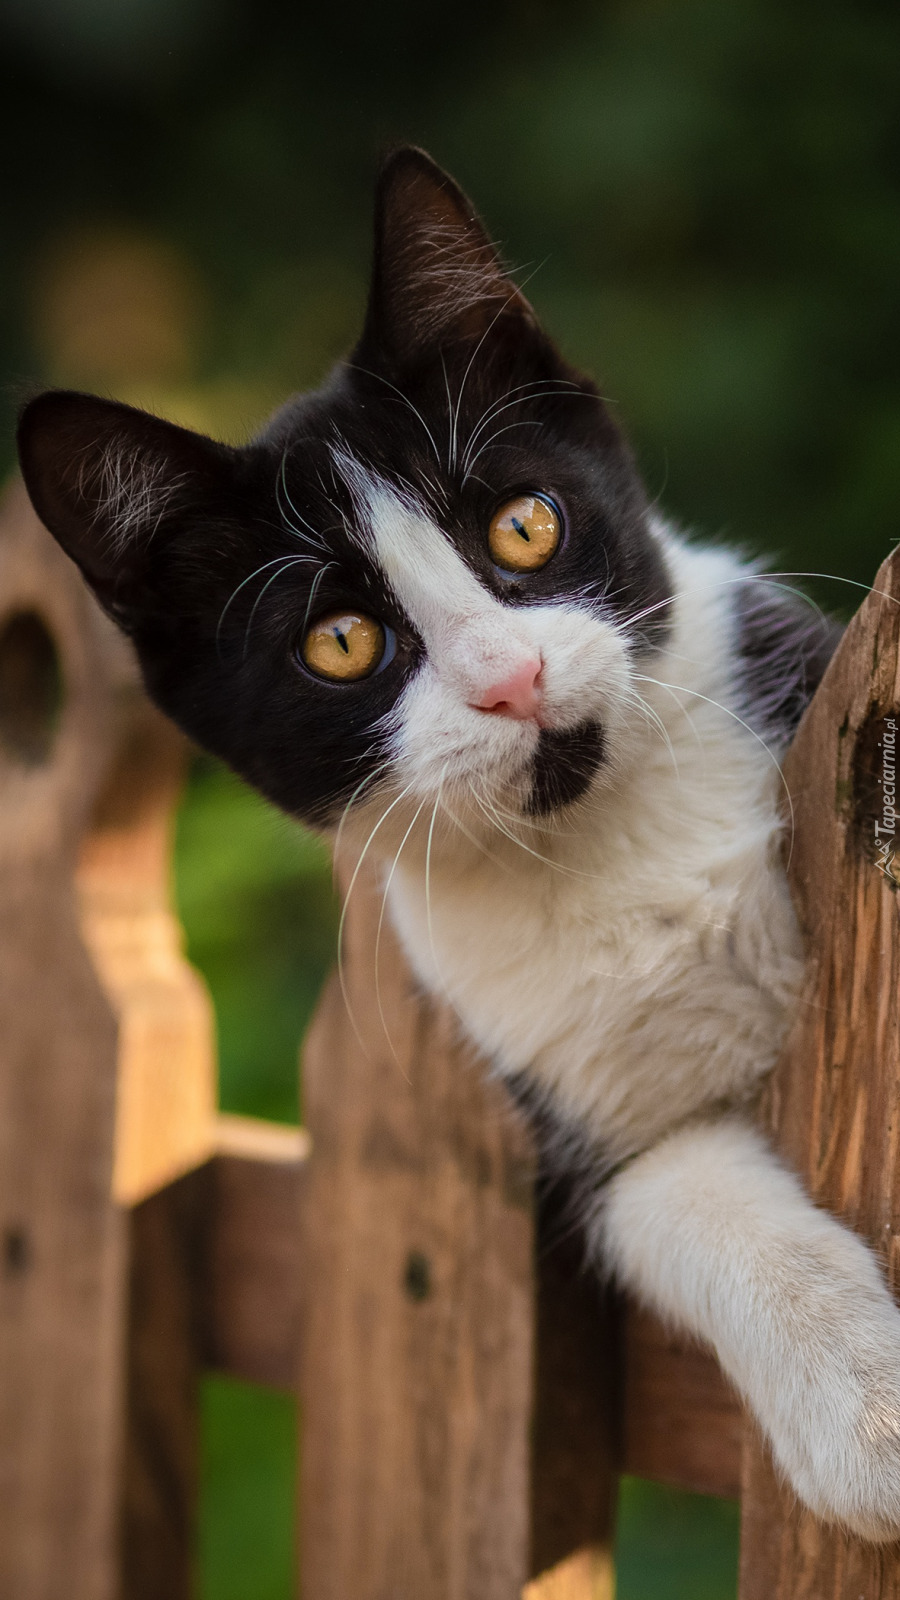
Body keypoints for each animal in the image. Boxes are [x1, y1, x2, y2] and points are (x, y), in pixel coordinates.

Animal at [15, 147, 900, 1536]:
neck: (603, 839)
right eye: (340, 641)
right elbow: (684, 1198)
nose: (511, 676)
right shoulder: (578, 1108)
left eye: (524, 525)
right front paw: (866, 1415)